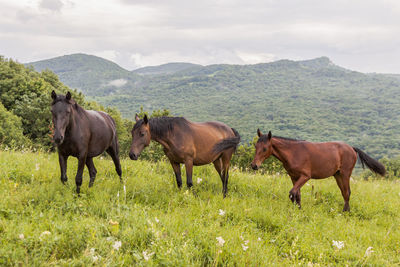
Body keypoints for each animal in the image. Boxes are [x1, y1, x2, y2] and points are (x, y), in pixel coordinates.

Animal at [252, 131, 386, 213]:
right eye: (255, 146)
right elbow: (297, 194)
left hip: (345, 174)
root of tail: (352, 148)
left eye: (265, 148)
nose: (254, 165)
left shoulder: (305, 176)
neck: (293, 152)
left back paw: (345, 213)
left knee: (347, 192)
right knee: (344, 193)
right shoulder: (294, 177)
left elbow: (292, 193)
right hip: (337, 175)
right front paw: (299, 210)